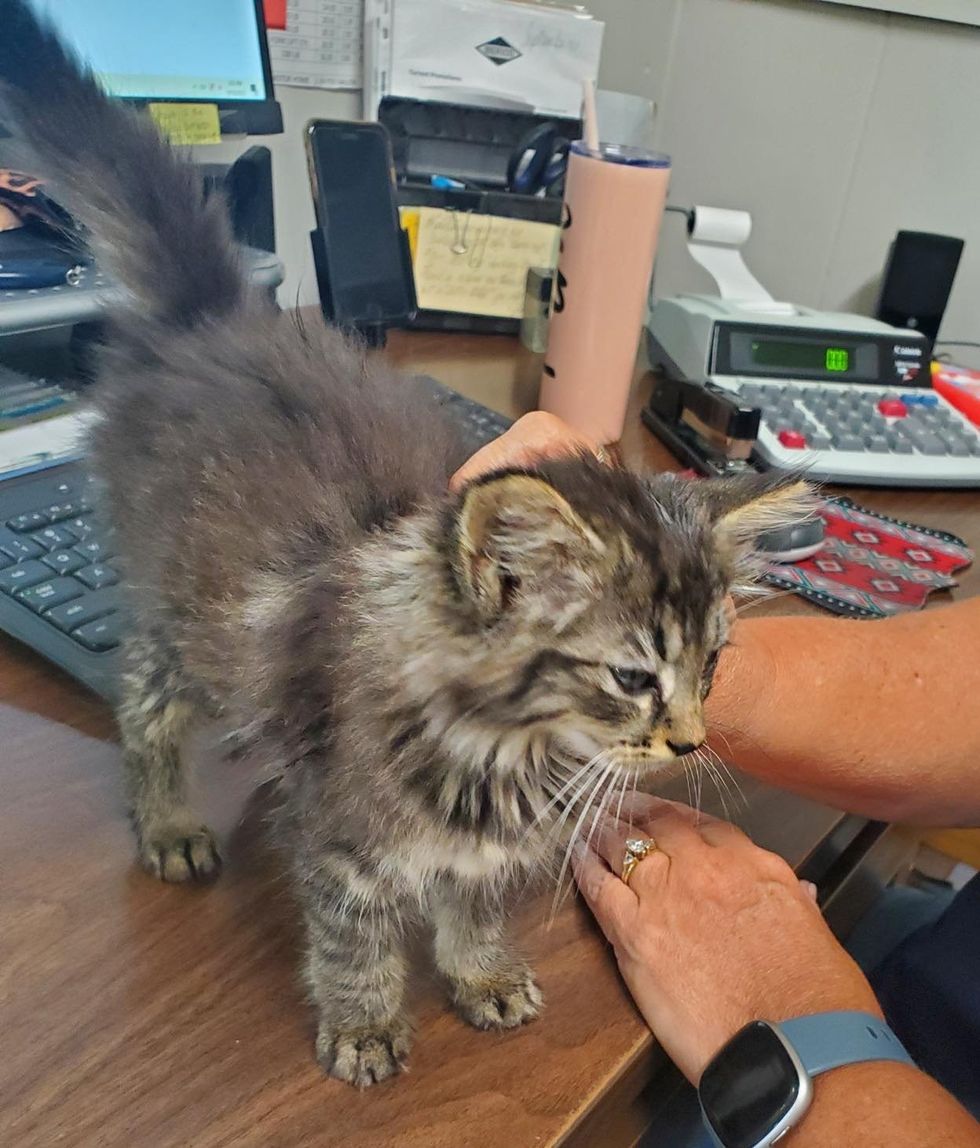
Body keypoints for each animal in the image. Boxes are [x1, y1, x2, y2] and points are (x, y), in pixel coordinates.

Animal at [1, 0, 812, 1088]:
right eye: (634, 678)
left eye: (713, 664)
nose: (688, 740)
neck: (502, 745)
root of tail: (214, 325)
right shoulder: (340, 838)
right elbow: (353, 934)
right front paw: (364, 1022)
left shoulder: (492, 847)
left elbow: (472, 904)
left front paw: (482, 972)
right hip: (182, 616)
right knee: (143, 705)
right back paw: (168, 820)